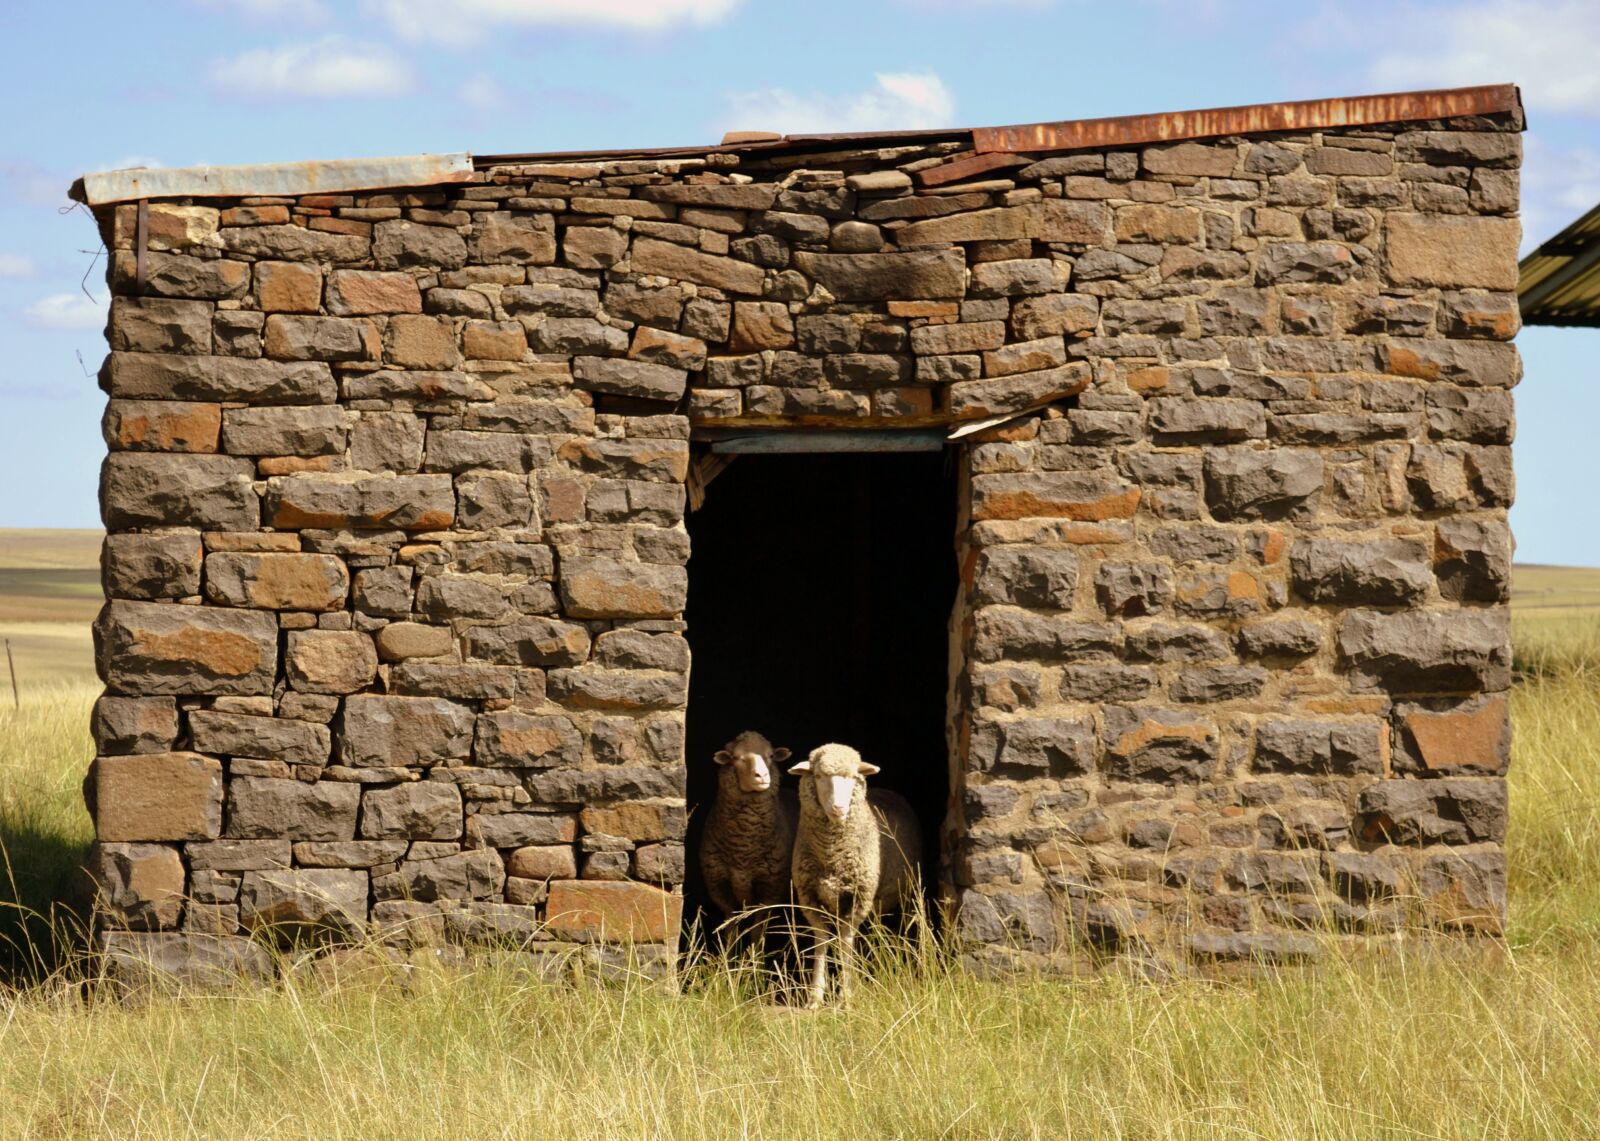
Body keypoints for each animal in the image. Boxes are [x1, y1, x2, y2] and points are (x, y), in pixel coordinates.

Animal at [698, 730, 797, 940]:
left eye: (771, 756)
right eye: (736, 758)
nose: (762, 776)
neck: (743, 849)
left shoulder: (769, 891)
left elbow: (757, 932)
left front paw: (755, 951)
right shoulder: (721, 888)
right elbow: (730, 929)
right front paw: (729, 950)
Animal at [788, 742, 922, 1007]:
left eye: (852, 777)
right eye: (819, 776)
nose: (839, 808)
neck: (831, 855)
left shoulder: (857, 897)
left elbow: (845, 941)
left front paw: (846, 995)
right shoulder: (810, 898)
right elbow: (822, 940)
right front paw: (815, 996)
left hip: (907, 894)